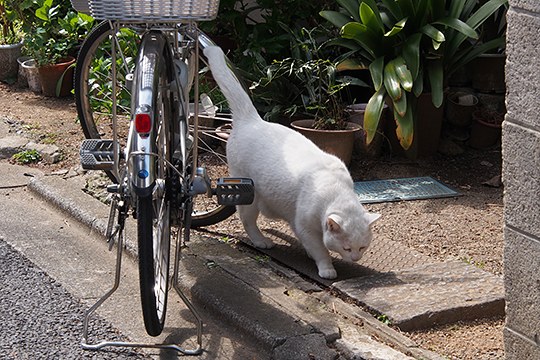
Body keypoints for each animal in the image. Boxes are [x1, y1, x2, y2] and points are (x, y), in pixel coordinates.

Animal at [202, 46, 380, 280]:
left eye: (363, 247)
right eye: (347, 248)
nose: (356, 258)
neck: (336, 190)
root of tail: (252, 120)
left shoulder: (300, 224)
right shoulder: (305, 226)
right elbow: (320, 249)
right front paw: (327, 268)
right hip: (248, 194)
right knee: (247, 220)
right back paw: (261, 241)